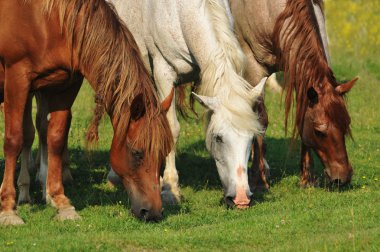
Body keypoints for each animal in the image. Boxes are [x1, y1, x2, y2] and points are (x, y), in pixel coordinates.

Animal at [0, 0, 174, 224]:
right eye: (137, 152)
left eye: (163, 153)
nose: (153, 212)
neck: (48, 20)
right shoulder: (17, 79)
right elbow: (14, 140)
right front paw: (8, 209)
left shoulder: (66, 85)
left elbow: (56, 138)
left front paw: (61, 202)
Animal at [230, 0, 358, 188]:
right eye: (319, 132)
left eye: (346, 124)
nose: (343, 177)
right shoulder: (254, 72)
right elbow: (260, 120)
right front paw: (259, 178)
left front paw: (307, 177)